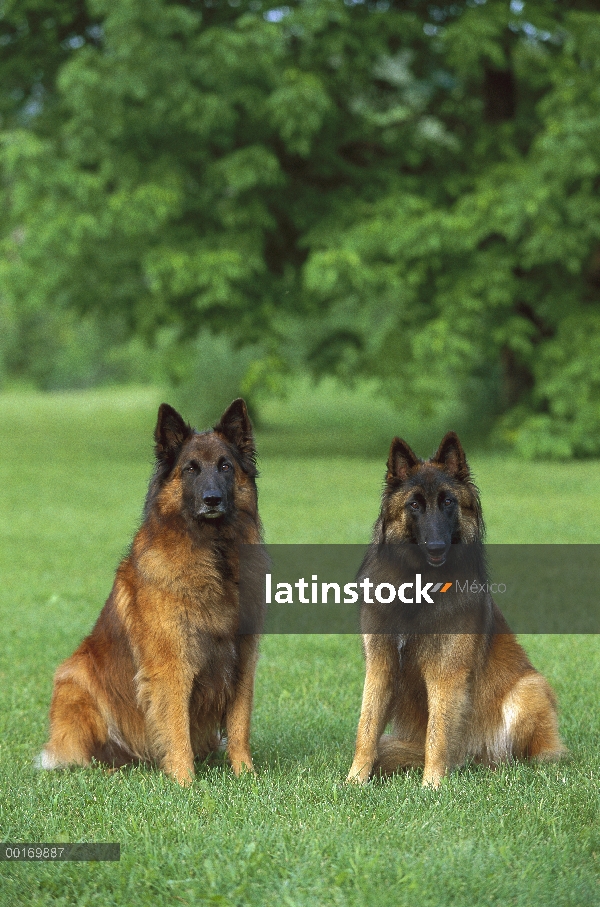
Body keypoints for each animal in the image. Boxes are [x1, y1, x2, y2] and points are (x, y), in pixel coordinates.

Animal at [37, 400, 262, 788]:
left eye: (225, 466)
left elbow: (239, 725)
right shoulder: (171, 666)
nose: (212, 499)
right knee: (86, 755)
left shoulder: (242, 661)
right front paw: (185, 782)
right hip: (75, 681)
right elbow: (176, 728)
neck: (214, 553)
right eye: (190, 469)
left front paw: (244, 774)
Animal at [346, 432, 568, 788]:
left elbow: (438, 734)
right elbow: (366, 729)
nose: (437, 547)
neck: (418, 585)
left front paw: (432, 787)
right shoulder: (380, 665)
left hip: (527, 689)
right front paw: (354, 781)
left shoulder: (446, 672)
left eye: (449, 502)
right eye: (414, 505)